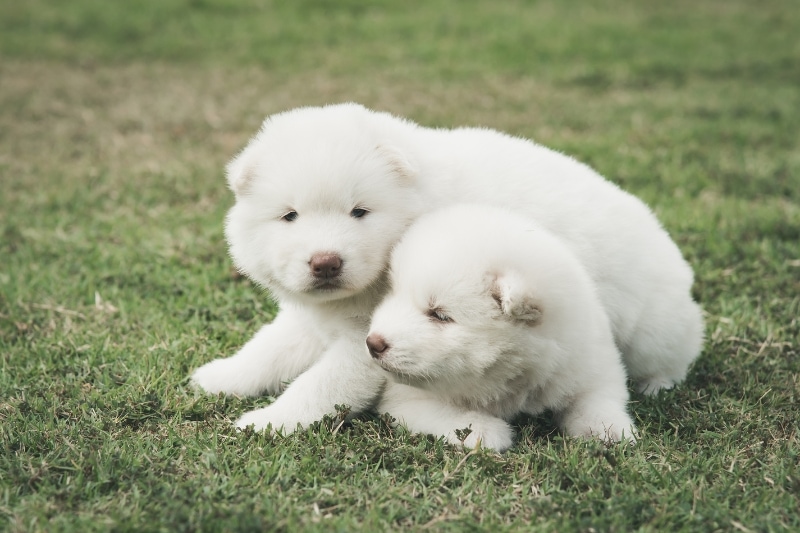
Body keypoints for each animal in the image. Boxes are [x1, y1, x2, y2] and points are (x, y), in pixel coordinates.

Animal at [368, 204, 636, 448]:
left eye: (440, 316)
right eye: (393, 293)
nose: (373, 343)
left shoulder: (588, 362)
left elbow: (597, 397)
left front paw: (609, 429)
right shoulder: (406, 399)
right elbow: (443, 412)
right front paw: (481, 430)